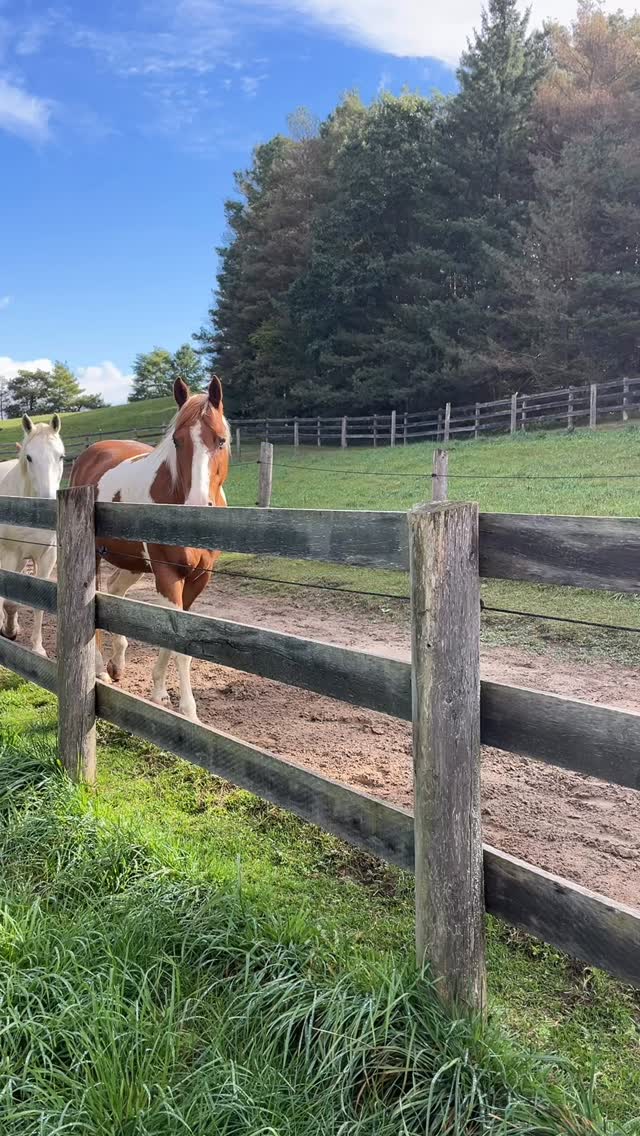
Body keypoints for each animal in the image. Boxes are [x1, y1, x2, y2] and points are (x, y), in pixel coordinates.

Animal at [0, 414, 65, 656]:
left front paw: (37, 649)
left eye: (61, 456)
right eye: (29, 457)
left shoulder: (47, 558)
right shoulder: (11, 554)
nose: (47, 504)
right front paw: (9, 631)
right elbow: (9, 601)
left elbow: (39, 602)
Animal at [69, 375, 230, 721]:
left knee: (115, 592)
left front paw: (159, 693)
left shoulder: (198, 579)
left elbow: (173, 638)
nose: (197, 508)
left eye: (221, 440)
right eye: (177, 441)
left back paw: (117, 664)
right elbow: (176, 642)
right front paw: (188, 711)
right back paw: (100, 670)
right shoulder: (167, 574)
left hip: (133, 563)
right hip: (98, 558)